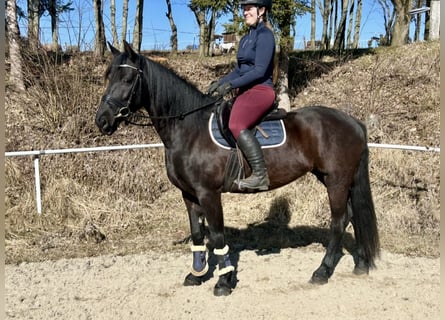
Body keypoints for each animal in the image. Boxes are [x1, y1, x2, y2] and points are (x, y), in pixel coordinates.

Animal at [94, 41, 378, 296]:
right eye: (109, 77)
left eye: (128, 79)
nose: (102, 121)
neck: (189, 129)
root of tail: (353, 122)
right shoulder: (188, 194)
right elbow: (197, 234)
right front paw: (197, 274)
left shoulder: (208, 193)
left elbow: (218, 236)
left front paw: (223, 282)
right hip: (335, 178)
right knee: (353, 215)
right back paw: (362, 264)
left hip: (337, 180)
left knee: (339, 220)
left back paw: (322, 271)